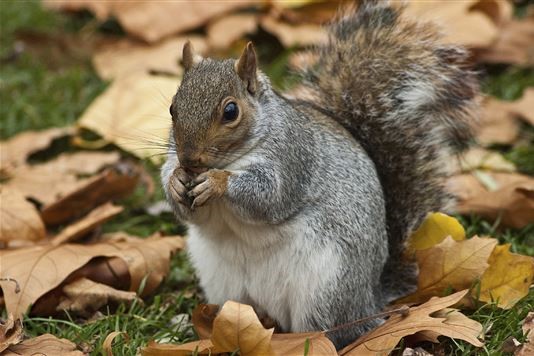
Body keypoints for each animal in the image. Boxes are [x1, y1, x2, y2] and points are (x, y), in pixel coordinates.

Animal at [161, 0, 480, 350]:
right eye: (173, 108)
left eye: (231, 111)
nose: (189, 160)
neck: (233, 157)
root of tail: (369, 299)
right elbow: (191, 212)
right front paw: (175, 181)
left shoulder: (293, 159)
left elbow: (269, 196)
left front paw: (218, 182)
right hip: (224, 283)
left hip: (326, 287)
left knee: (329, 331)